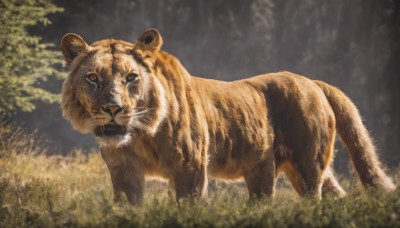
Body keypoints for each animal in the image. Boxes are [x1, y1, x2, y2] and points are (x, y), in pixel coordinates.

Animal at [61, 28, 396, 205]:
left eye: (131, 77)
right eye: (93, 78)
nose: (113, 108)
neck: (142, 134)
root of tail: (314, 82)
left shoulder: (190, 166)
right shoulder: (123, 171)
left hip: (307, 164)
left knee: (315, 198)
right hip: (280, 169)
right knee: (335, 196)